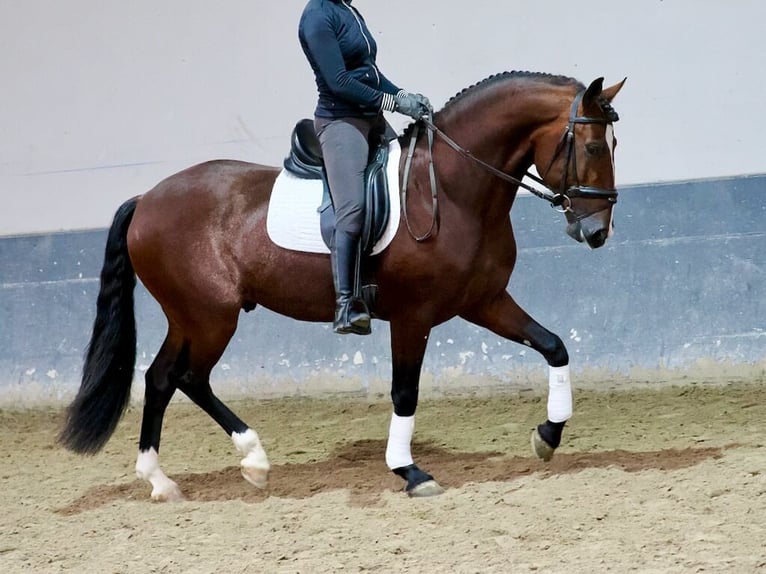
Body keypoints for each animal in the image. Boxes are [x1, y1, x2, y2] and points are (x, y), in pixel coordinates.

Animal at [58, 72, 624, 502]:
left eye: (613, 144)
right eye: (595, 145)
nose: (598, 232)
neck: (452, 188)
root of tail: (147, 198)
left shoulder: (484, 301)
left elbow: (554, 346)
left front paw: (548, 435)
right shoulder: (414, 316)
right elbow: (405, 391)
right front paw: (409, 472)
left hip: (189, 317)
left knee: (161, 379)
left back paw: (162, 481)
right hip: (211, 316)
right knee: (189, 377)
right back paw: (254, 461)